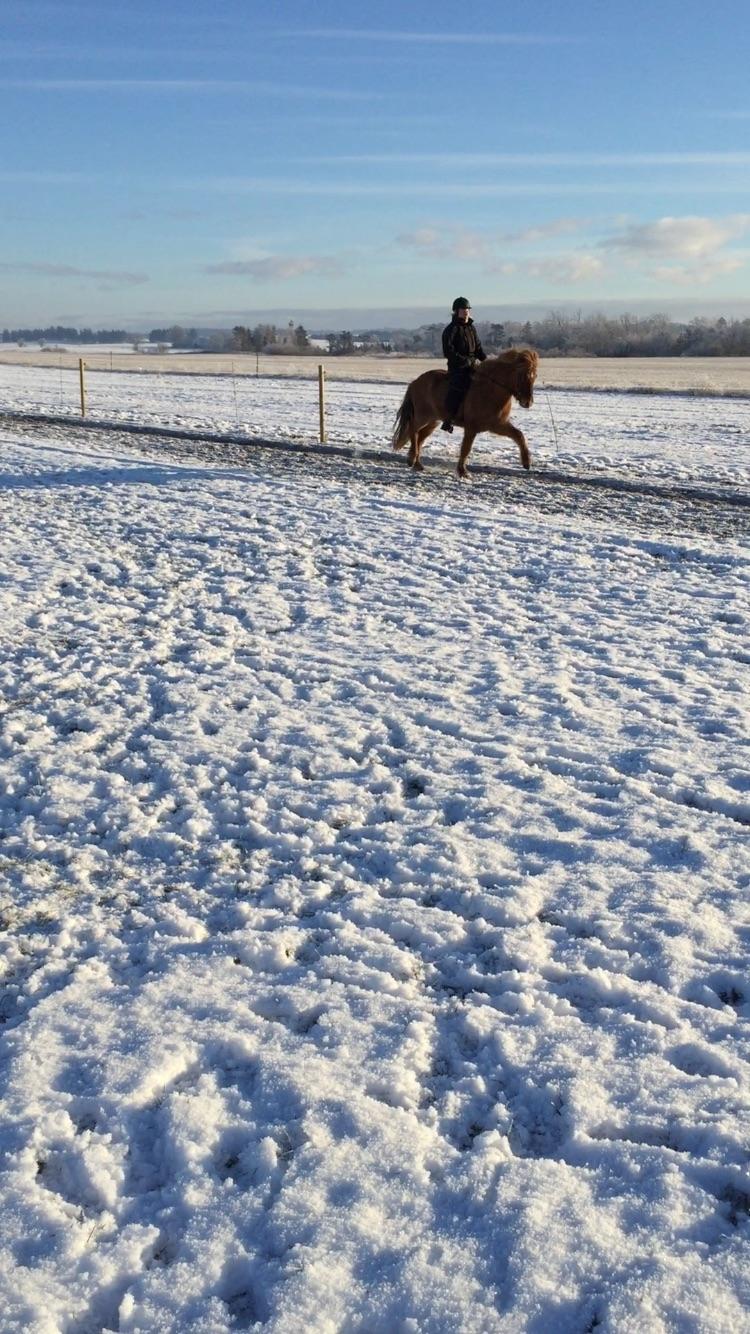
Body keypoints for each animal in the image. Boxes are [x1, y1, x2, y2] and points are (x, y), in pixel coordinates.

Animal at [387, 349, 533, 480]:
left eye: (534, 376)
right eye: (523, 376)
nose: (528, 402)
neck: (490, 390)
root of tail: (415, 382)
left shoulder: (497, 424)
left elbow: (519, 435)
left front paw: (527, 463)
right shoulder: (472, 427)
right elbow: (466, 448)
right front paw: (463, 472)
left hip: (433, 420)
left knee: (420, 437)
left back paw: (417, 464)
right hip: (422, 416)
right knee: (413, 430)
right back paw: (411, 458)